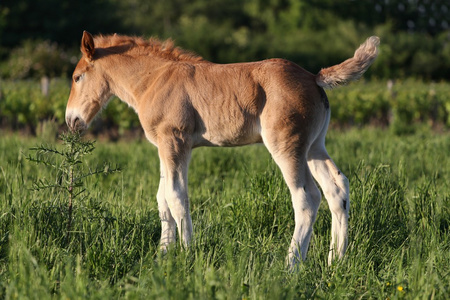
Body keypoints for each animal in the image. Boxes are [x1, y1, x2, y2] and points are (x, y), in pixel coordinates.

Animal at [66, 31, 380, 268]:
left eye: (77, 77)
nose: (72, 120)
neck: (153, 79)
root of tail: (314, 77)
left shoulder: (175, 141)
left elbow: (176, 197)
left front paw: (187, 254)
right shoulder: (164, 147)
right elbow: (162, 198)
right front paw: (163, 256)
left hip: (287, 146)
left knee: (307, 197)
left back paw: (291, 265)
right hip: (314, 147)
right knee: (337, 188)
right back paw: (335, 261)